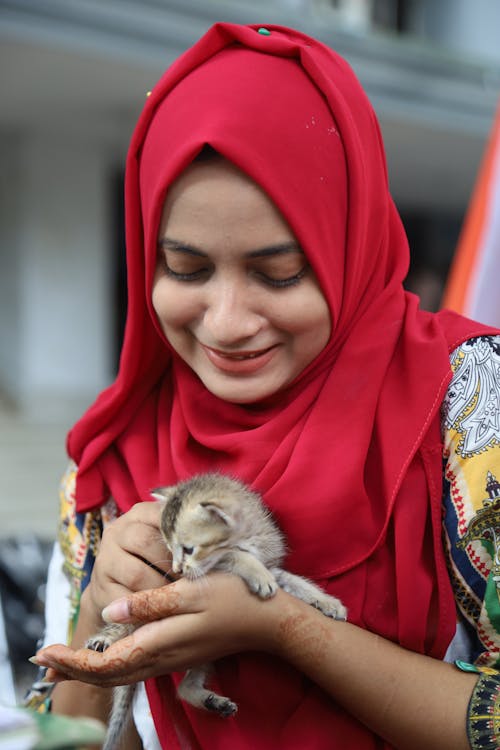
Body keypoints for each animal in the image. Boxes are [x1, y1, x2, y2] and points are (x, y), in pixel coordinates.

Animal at [87, 472, 344, 748]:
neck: (248, 538)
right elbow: (234, 555)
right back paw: (102, 640)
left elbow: (295, 582)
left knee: (183, 688)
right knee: (122, 626)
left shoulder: (272, 566)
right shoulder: (218, 565)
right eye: (170, 549)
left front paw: (326, 602)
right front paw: (258, 574)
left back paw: (212, 702)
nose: (177, 570)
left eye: (188, 549)